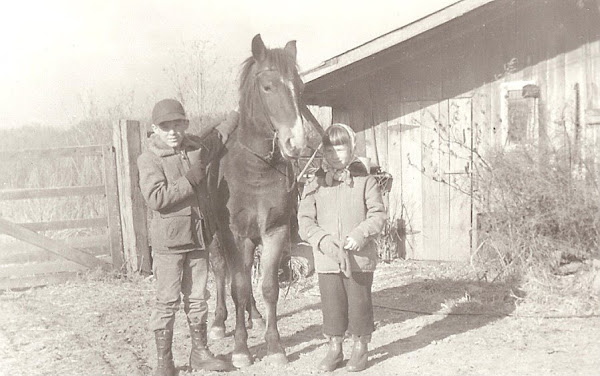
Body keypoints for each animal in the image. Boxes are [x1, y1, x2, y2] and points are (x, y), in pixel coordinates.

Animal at [209, 33, 308, 368]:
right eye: (267, 87)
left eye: (299, 86)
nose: (297, 143)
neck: (255, 170)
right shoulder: (234, 235)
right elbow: (237, 287)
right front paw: (241, 350)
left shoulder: (274, 231)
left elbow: (268, 287)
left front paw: (275, 346)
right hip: (217, 238)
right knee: (221, 271)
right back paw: (219, 322)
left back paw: (254, 316)